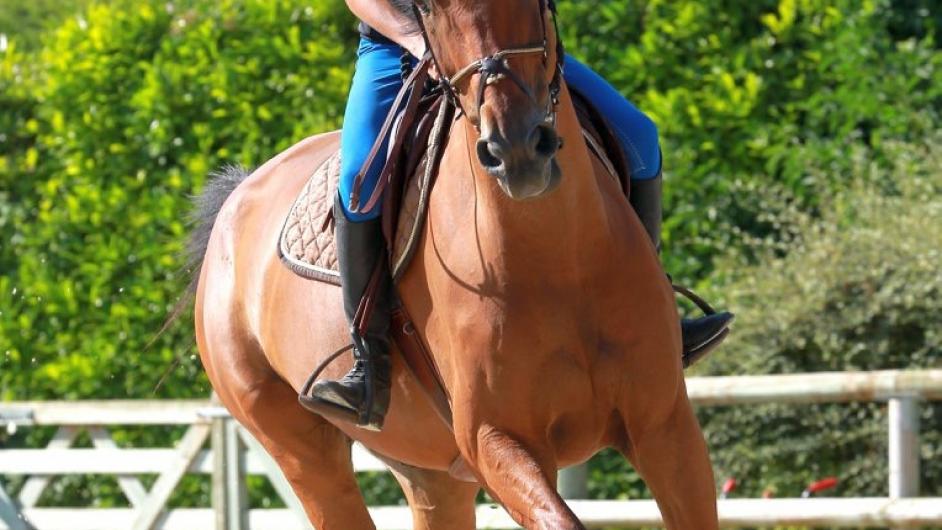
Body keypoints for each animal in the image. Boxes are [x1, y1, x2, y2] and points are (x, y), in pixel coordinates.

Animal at [191, 1, 719, 528]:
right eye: (426, 8)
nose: (517, 151)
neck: (559, 258)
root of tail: (235, 203)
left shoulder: (666, 426)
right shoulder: (496, 441)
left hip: (432, 475)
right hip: (303, 454)